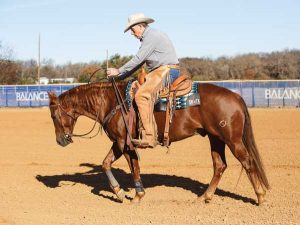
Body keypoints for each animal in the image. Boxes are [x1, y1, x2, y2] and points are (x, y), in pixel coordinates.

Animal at [48, 81, 270, 206]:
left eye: (53, 115)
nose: (60, 140)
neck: (112, 102)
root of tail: (236, 96)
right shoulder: (119, 144)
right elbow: (106, 164)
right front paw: (119, 193)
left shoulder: (123, 143)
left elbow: (133, 168)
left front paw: (137, 195)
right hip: (215, 138)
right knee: (220, 165)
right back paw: (205, 197)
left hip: (232, 139)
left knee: (247, 162)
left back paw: (260, 197)